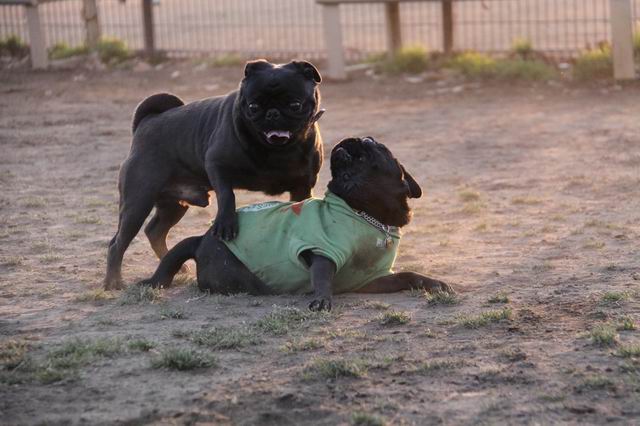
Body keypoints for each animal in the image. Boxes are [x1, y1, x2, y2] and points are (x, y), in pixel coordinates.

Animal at [104, 60, 325, 290]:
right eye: (253, 107)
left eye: (295, 105)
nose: (272, 113)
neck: (277, 150)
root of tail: (145, 122)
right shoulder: (217, 165)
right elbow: (227, 195)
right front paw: (225, 224)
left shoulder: (302, 187)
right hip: (138, 202)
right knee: (117, 243)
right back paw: (113, 281)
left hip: (172, 206)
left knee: (155, 231)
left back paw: (176, 267)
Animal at [139, 136, 453, 310]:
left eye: (370, 144)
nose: (353, 139)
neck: (365, 213)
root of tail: (202, 239)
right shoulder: (323, 252)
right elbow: (323, 277)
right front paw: (323, 299)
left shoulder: (373, 280)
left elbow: (408, 275)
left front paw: (432, 283)